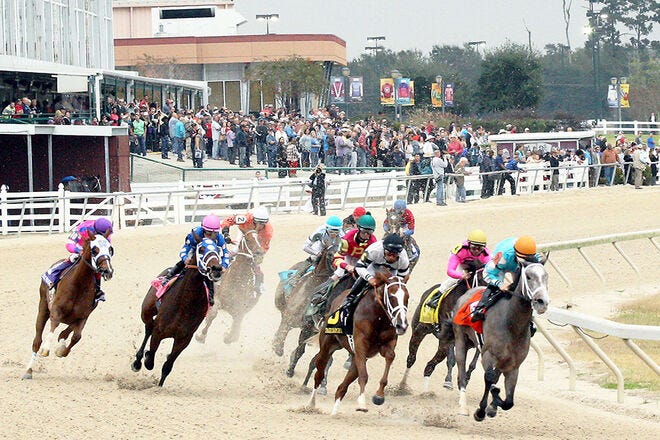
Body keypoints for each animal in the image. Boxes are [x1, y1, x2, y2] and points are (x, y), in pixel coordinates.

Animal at [23, 235, 113, 380]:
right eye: (94, 250)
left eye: (110, 249)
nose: (108, 270)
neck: (79, 285)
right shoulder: (56, 310)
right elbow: (54, 325)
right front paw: (46, 349)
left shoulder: (84, 316)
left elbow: (76, 336)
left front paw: (61, 350)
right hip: (43, 306)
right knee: (37, 340)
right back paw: (29, 370)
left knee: (66, 332)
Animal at [131, 239, 222, 386]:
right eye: (201, 249)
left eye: (218, 250)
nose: (217, 269)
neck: (185, 303)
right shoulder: (159, 331)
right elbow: (150, 360)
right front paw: (145, 357)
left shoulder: (184, 338)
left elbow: (167, 366)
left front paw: (159, 386)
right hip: (146, 311)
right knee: (148, 327)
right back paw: (137, 361)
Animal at [308, 272, 410, 416]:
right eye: (391, 296)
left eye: (407, 297)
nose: (402, 325)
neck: (378, 316)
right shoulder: (361, 344)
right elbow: (364, 375)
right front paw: (362, 402)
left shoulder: (386, 344)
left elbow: (390, 356)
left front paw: (379, 395)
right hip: (327, 345)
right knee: (319, 374)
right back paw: (310, 404)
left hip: (354, 356)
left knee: (342, 387)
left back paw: (334, 412)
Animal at [454, 262, 552, 420]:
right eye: (529, 277)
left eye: (546, 276)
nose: (542, 302)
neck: (512, 324)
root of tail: (468, 292)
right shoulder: (488, 355)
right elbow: (489, 379)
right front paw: (481, 411)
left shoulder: (513, 365)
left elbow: (509, 402)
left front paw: (492, 406)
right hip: (460, 338)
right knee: (462, 369)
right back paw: (463, 406)